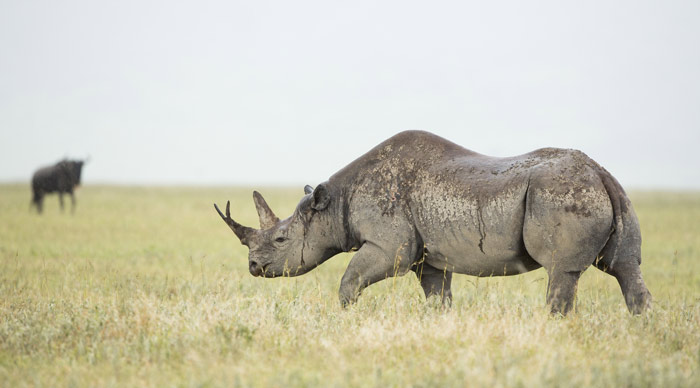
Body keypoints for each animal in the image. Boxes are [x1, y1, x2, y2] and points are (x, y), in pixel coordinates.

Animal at [213, 130, 652, 316]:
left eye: (282, 239)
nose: (253, 267)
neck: (333, 204)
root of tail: (601, 173)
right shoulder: (428, 257)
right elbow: (438, 295)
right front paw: (441, 323)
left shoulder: (391, 245)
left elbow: (350, 280)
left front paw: (346, 318)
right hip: (608, 195)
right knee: (625, 266)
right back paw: (640, 326)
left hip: (560, 194)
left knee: (561, 270)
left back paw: (553, 326)